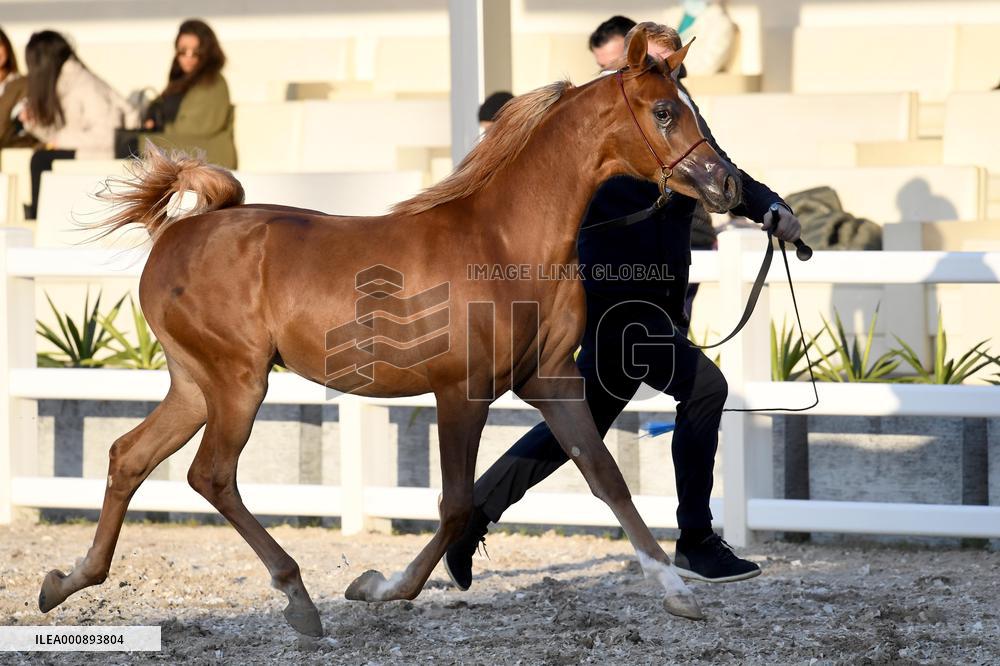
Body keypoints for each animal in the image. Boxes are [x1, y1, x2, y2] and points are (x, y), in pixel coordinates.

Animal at [37, 32, 741, 636]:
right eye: (664, 111)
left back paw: (65, 581)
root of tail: (179, 233)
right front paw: (379, 588)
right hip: (237, 382)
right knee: (211, 475)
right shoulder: (461, 393)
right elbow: (456, 505)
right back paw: (297, 597)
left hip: (193, 385)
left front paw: (677, 591)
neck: (506, 243)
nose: (727, 185)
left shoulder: (553, 381)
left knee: (128, 456)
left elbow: (604, 474)